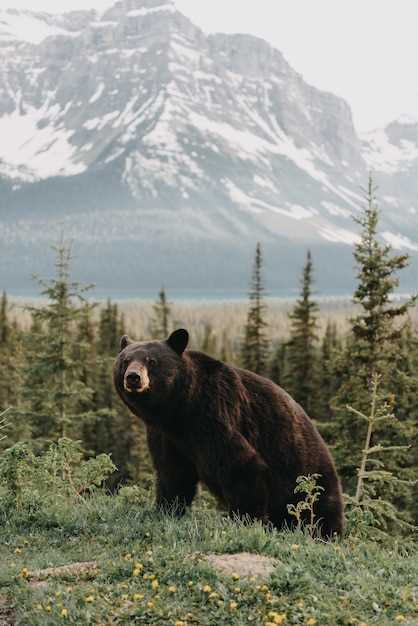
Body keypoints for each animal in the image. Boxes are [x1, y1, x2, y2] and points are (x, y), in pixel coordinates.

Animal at [112, 330, 344, 532]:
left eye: (151, 361)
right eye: (125, 361)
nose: (133, 377)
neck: (179, 410)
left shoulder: (214, 414)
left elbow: (242, 465)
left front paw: (245, 520)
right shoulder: (165, 435)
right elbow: (173, 473)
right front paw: (166, 510)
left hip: (308, 478)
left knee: (321, 513)